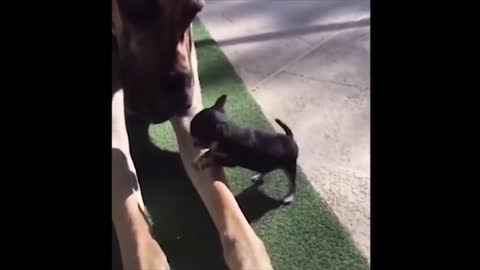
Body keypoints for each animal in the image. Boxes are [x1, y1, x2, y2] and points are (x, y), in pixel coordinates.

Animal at [110, 0, 272, 270]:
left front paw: (250, 255)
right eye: (136, 9)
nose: (183, 101)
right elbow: (129, 208)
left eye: (195, 11)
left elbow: (222, 195)